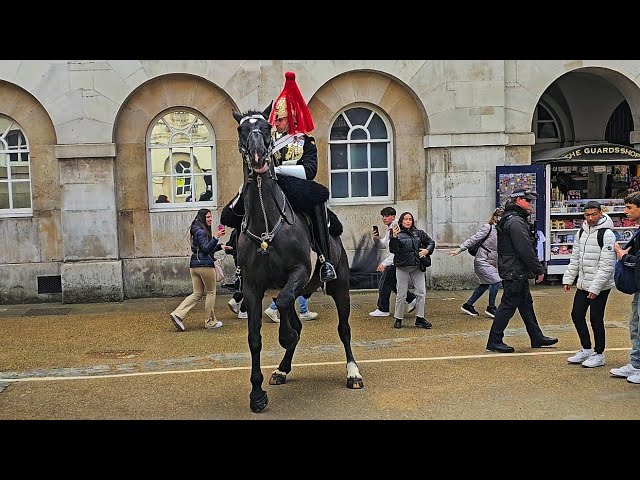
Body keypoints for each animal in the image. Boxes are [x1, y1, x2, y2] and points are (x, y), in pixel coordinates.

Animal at [234, 105, 364, 412]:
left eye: (267, 128)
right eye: (242, 129)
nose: (258, 157)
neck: (267, 224)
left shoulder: (300, 271)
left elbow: (284, 312)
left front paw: (285, 336)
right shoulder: (253, 288)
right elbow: (254, 338)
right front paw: (256, 394)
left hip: (339, 286)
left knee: (344, 328)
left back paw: (353, 372)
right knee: (292, 313)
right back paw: (282, 369)